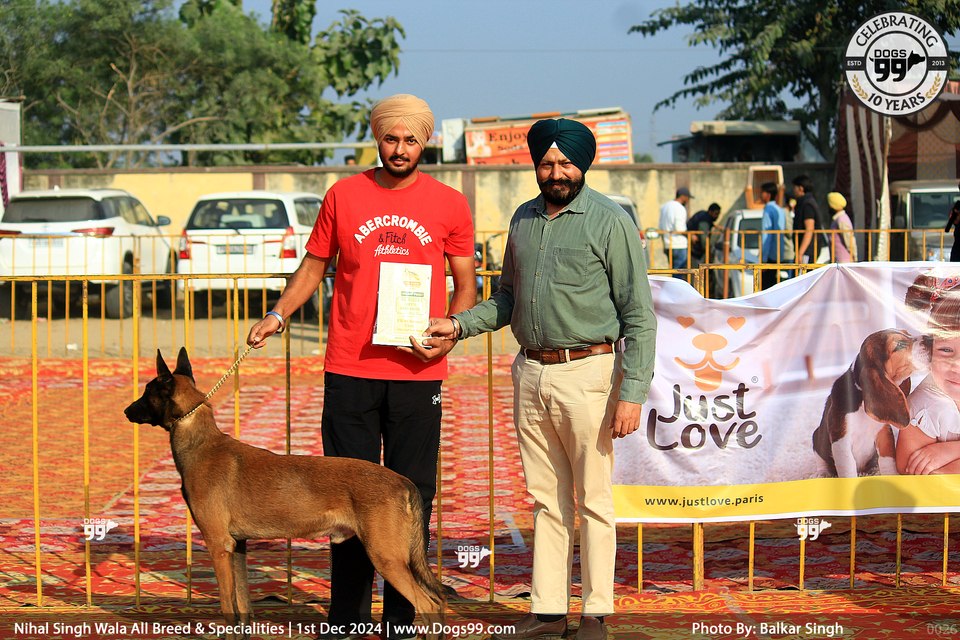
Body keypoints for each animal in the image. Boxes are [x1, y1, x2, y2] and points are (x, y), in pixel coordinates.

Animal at [124, 348, 445, 640]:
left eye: (147, 391)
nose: (126, 411)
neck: (202, 444)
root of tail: (402, 481)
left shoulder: (218, 546)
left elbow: (228, 606)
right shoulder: (237, 547)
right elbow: (243, 608)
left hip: (386, 557)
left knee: (428, 606)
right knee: (437, 603)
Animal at [812, 329, 924, 477]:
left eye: (908, 333)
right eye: (899, 345)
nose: (931, 339)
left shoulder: (883, 433)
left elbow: (887, 460)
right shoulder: (841, 442)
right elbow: (848, 470)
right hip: (816, 437)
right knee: (821, 460)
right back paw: (823, 474)